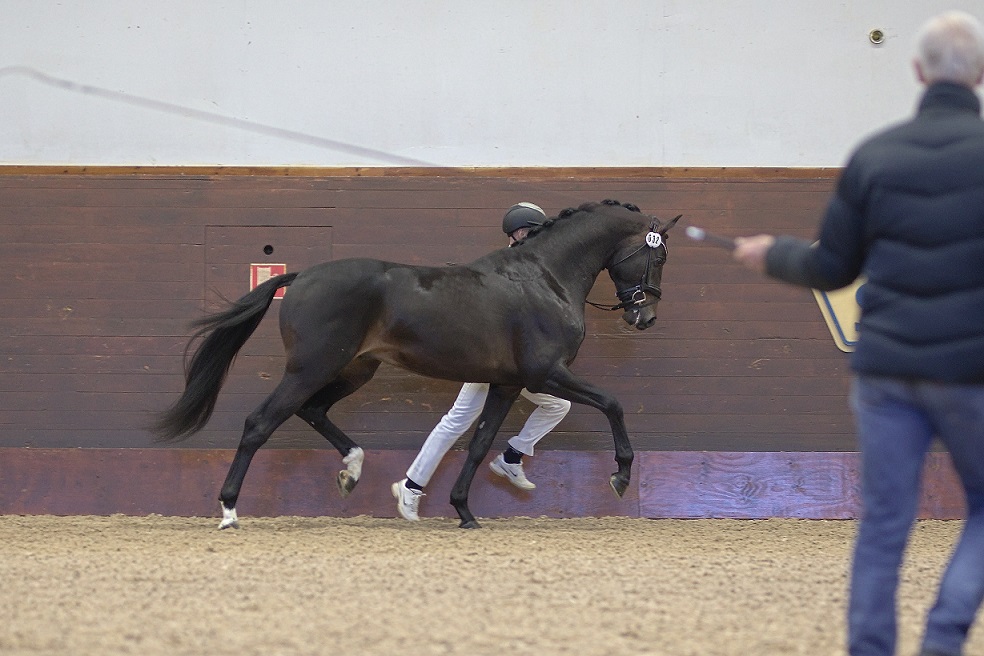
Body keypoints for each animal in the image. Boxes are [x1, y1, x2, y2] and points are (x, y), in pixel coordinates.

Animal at [154, 199, 680, 528]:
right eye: (658, 257)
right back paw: (229, 511)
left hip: (353, 370)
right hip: (310, 369)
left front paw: (465, 511)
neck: (543, 277)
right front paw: (620, 475)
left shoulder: (506, 384)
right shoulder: (546, 373)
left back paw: (353, 470)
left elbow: (479, 443)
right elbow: (612, 403)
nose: (645, 316)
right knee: (260, 423)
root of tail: (301, 276)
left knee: (314, 411)